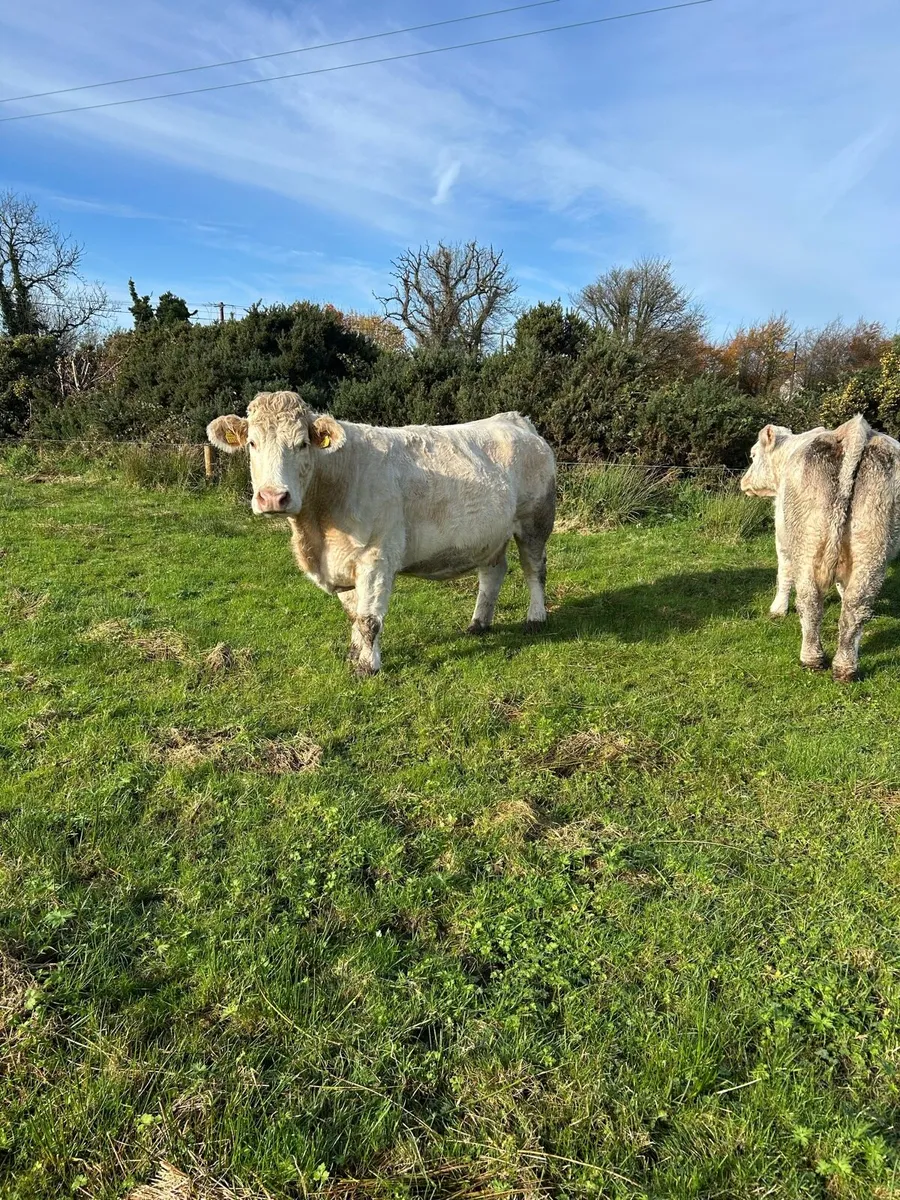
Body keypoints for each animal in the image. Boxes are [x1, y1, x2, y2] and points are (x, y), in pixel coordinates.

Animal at [207, 391, 556, 675]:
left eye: (302, 444)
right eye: (252, 443)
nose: (273, 497)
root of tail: (513, 420)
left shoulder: (376, 557)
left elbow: (369, 619)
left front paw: (368, 666)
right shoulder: (343, 563)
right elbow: (354, 614)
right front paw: (354, 654)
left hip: (535, 521)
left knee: (534, 569)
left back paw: (536, 618)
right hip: (489, 534)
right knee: (493, 572)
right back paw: (478, 623)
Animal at [740, 414, 900, 681]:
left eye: (752, 454)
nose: (743, 482)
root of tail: (855, 431)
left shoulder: (782, 535)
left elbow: (783, 572)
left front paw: (777, 609)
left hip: (807, 541)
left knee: (809, 600)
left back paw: (811, 660)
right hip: (871, 543)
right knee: (856, 604)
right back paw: (846, 668)